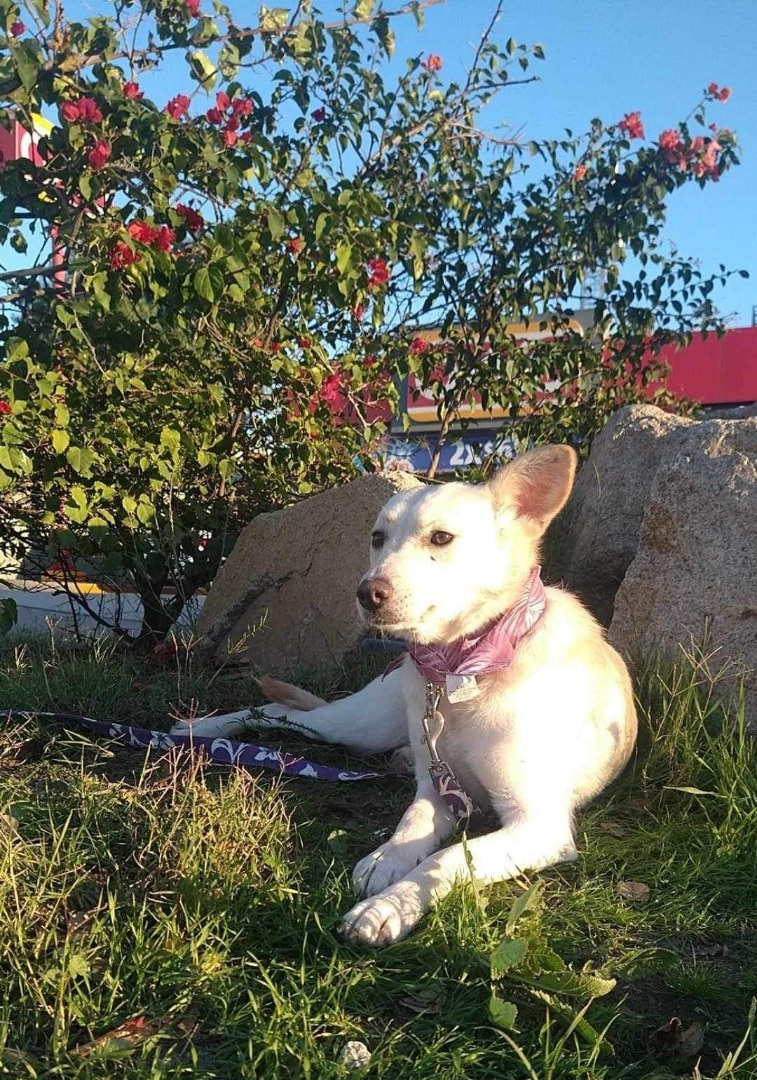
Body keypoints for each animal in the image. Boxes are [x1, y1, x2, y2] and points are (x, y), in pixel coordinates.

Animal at [169, 447, 630, 946]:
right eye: (377, 538)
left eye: (442, 537)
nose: (366, 593)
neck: (460, 672)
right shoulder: (438, 790)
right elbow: (412, 823)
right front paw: (387, 861)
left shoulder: (537, 825)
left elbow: (446, 858)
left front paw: (387, 906)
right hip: (360, 725)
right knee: (278, 708)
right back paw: (202, 727)